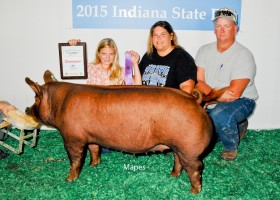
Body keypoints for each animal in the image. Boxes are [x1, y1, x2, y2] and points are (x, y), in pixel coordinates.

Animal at [25, 70, 212, 194]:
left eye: (36, 98)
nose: (27, 109)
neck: (59, 103)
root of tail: (194, 100)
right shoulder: (91, 137)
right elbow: (94, 149)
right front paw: (94, 165)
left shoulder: (72, 138)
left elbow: (76, 160)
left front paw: (69, 179)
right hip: (179, 146)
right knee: (178, 160)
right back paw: (172, 175)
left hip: (189, 149)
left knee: (196, 167)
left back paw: (194, 192)